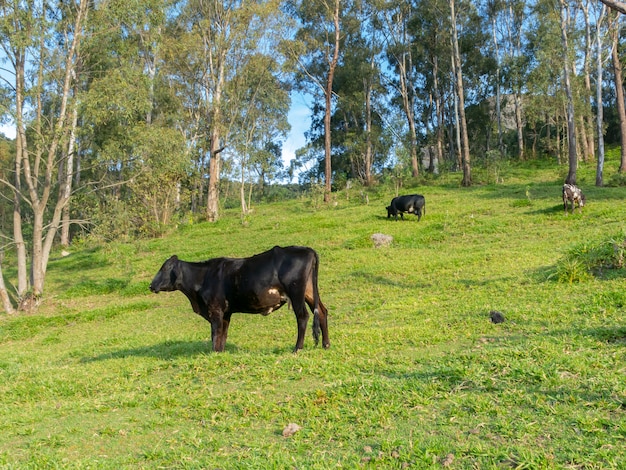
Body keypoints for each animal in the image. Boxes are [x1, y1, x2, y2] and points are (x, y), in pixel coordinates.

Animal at [149, 246, 330, 352]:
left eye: (164, 268)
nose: (151, 285)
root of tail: (308, 250)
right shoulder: (226, 312)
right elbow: (223, 333)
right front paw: (220, 352)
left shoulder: (215, 309)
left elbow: (215, 332)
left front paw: (214, 352)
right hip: (309, 292)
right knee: (322, 311)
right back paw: (326, 344)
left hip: (296, 292)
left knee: (303, 316)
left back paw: (297, 348)